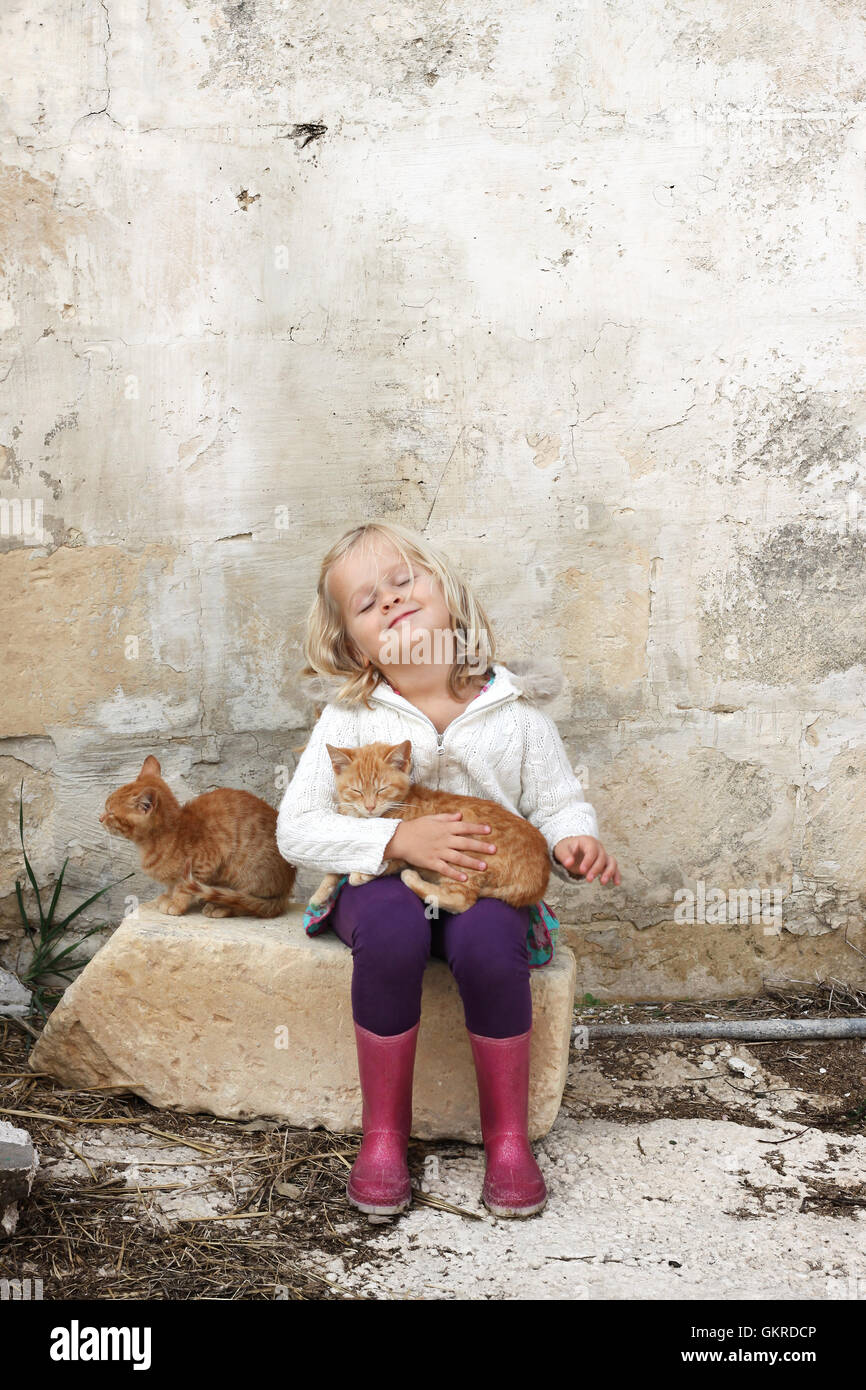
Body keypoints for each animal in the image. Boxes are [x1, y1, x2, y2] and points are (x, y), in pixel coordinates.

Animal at [100, 756, 296, 917]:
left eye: (110, 813)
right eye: (106, 808)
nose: (99, 818)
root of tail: (286, 890)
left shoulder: (206, 863)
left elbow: (184, 887)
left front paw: (176, 903)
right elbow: (172, 884)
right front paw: (167, 896)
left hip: (244, 872)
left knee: (245, 902)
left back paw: (220, 906)